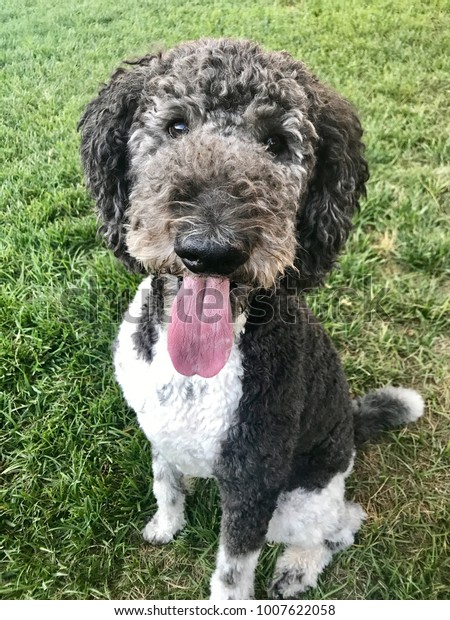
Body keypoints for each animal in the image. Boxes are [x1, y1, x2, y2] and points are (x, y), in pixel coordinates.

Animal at [79, 40, 424, 600]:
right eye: (176, 125)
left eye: (277, 143)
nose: (210, 250)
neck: (194, 374)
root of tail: (350, 429)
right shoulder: (158, 432)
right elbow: (164, 482)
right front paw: (166, 525)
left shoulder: (254, 477)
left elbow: (232, 568)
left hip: (299, 499)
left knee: (342, 524)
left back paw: (296, 570)